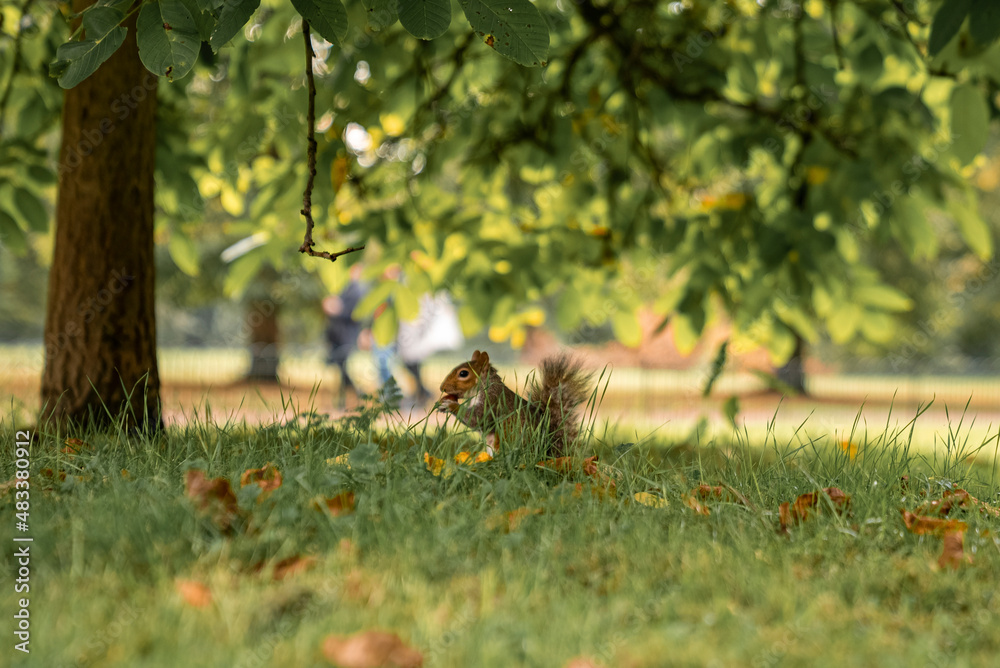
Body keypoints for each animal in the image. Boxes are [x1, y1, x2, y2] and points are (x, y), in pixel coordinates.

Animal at [438, 350, 592, 457]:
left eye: (463, 373)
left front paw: (450, 405)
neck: (485, 387)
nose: (442, 388)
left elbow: (477, 418)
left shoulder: (493, 401)